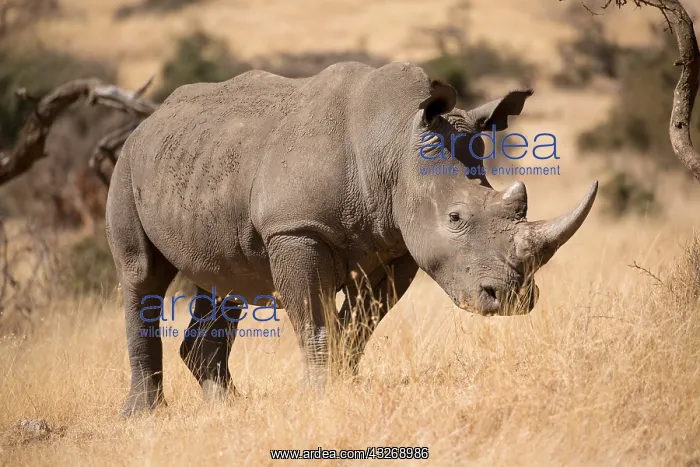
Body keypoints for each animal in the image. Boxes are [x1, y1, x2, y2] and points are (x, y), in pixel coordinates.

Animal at [106, 61, 597, 416]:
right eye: (456, 218)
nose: (511, 298)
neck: (395, 145)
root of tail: (150, 120)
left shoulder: (398, 242)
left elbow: (362, 321)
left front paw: (347, 386)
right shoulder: (296, 229)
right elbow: (316, 316)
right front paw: (321, 395)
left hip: (198, 166)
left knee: (225, 283)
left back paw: (226, 407)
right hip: (127, 164)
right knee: (141, 275)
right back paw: (143, 415)